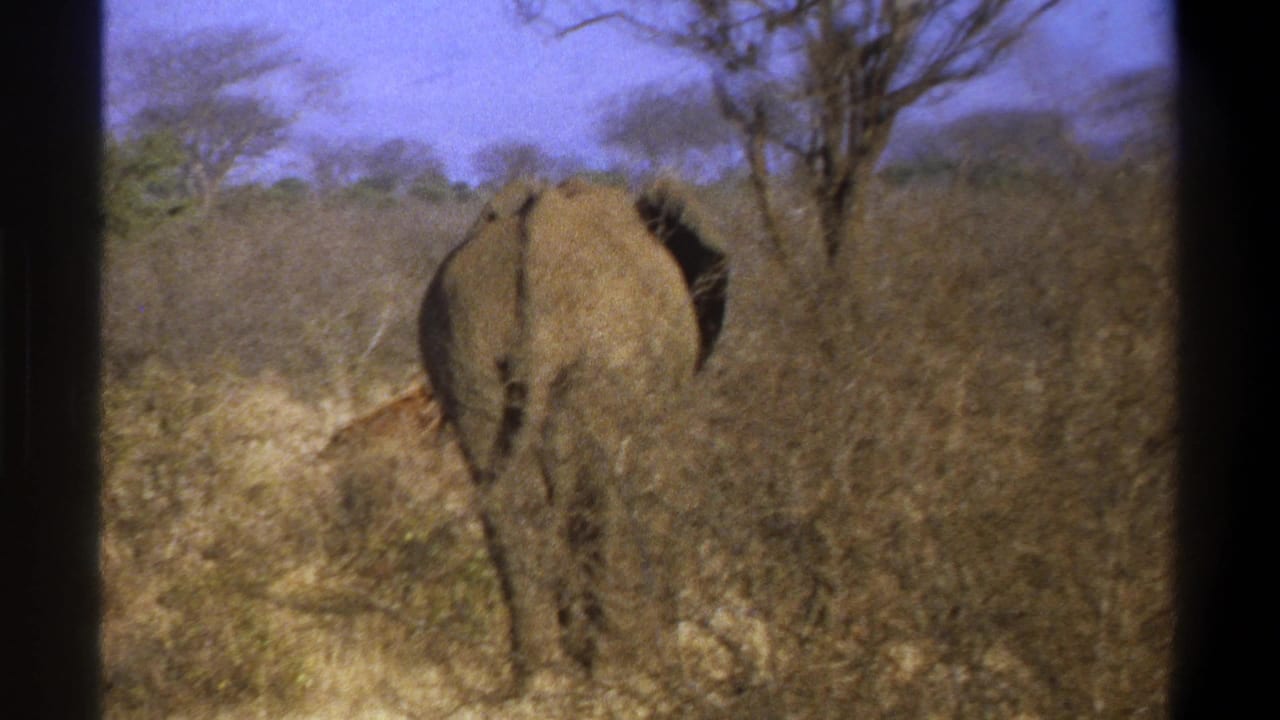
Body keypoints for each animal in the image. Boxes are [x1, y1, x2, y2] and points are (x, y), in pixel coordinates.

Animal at [418, 177, 728, 686]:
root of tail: (538, 237)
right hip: (610, 348)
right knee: (609, 489)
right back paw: (612, 671)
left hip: (463, 336)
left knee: (504, 493)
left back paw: (537, 674)